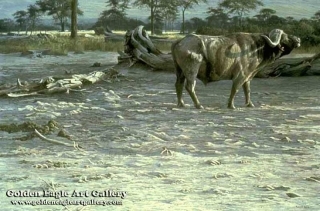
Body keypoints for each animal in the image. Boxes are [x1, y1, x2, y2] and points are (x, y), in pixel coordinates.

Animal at [172, 29, 300, 109]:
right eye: (286, 37)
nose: (298, 40)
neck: (257, 47)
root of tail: (180, 41)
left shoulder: (248, 76)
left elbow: (247, 90)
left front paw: (249, 104)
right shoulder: (241, 75)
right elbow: (235, 89)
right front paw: (231, 105)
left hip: (180, 71)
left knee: (178, 84)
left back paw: (181, 104)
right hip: (191, 70)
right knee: (190, 86)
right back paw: (198, 105)